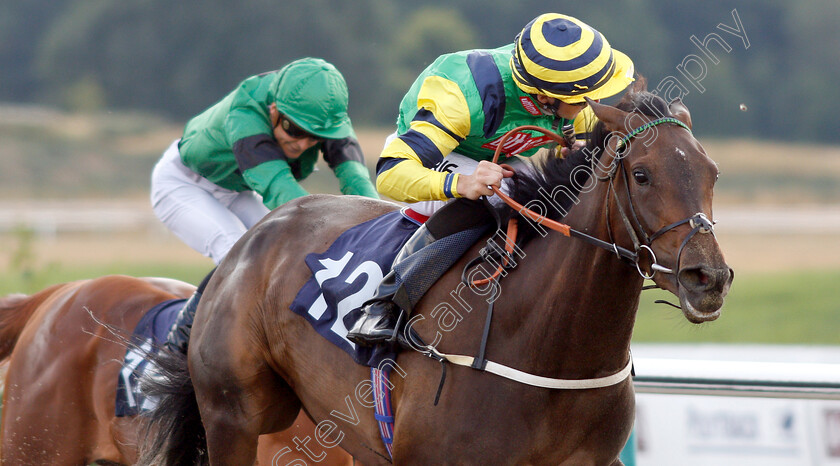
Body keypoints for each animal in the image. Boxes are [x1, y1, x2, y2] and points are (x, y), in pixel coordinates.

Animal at [141, 81, 732, 466]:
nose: (708, 277)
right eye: (642, 174)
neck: (549, 350)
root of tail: (249, 241)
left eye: (712, 172)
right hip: (234, 416)